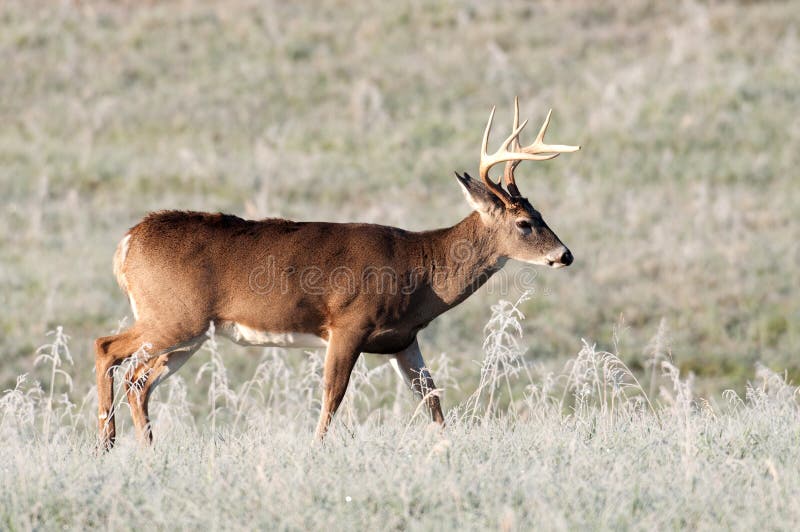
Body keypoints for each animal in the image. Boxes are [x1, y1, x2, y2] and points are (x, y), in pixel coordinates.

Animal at [94, 99, 579, 449]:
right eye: (525, 223)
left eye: (540, 214)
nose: (565, 255)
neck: (421, 270)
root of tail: (126, 243)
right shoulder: (349, 323)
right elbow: (332, 395)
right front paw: (315, 450)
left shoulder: (403, 339)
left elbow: (432, 397)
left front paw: (447, 449)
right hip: (174, 315)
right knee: (107, 348)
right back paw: (107, 440)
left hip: (190, 333)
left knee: (139, 380)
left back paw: (143, 449)